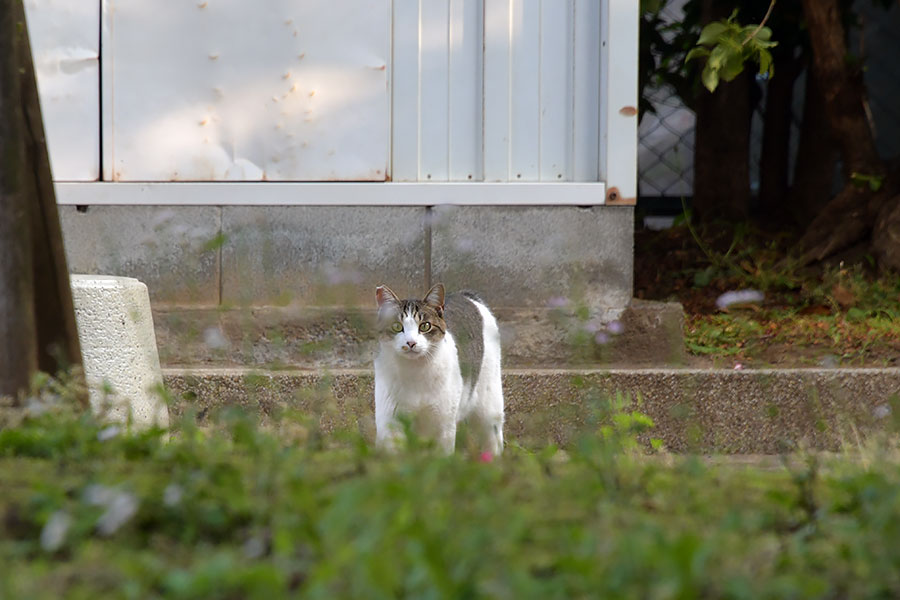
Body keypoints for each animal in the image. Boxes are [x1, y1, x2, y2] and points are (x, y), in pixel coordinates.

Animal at [372, 282, 506, 454]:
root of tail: (465, 294)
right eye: (397, 326)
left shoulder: (443, 426)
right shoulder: (391, 424)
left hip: (489, 405)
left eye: (425, 326)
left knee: (493, 439)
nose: (411, 343)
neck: (415, 372)